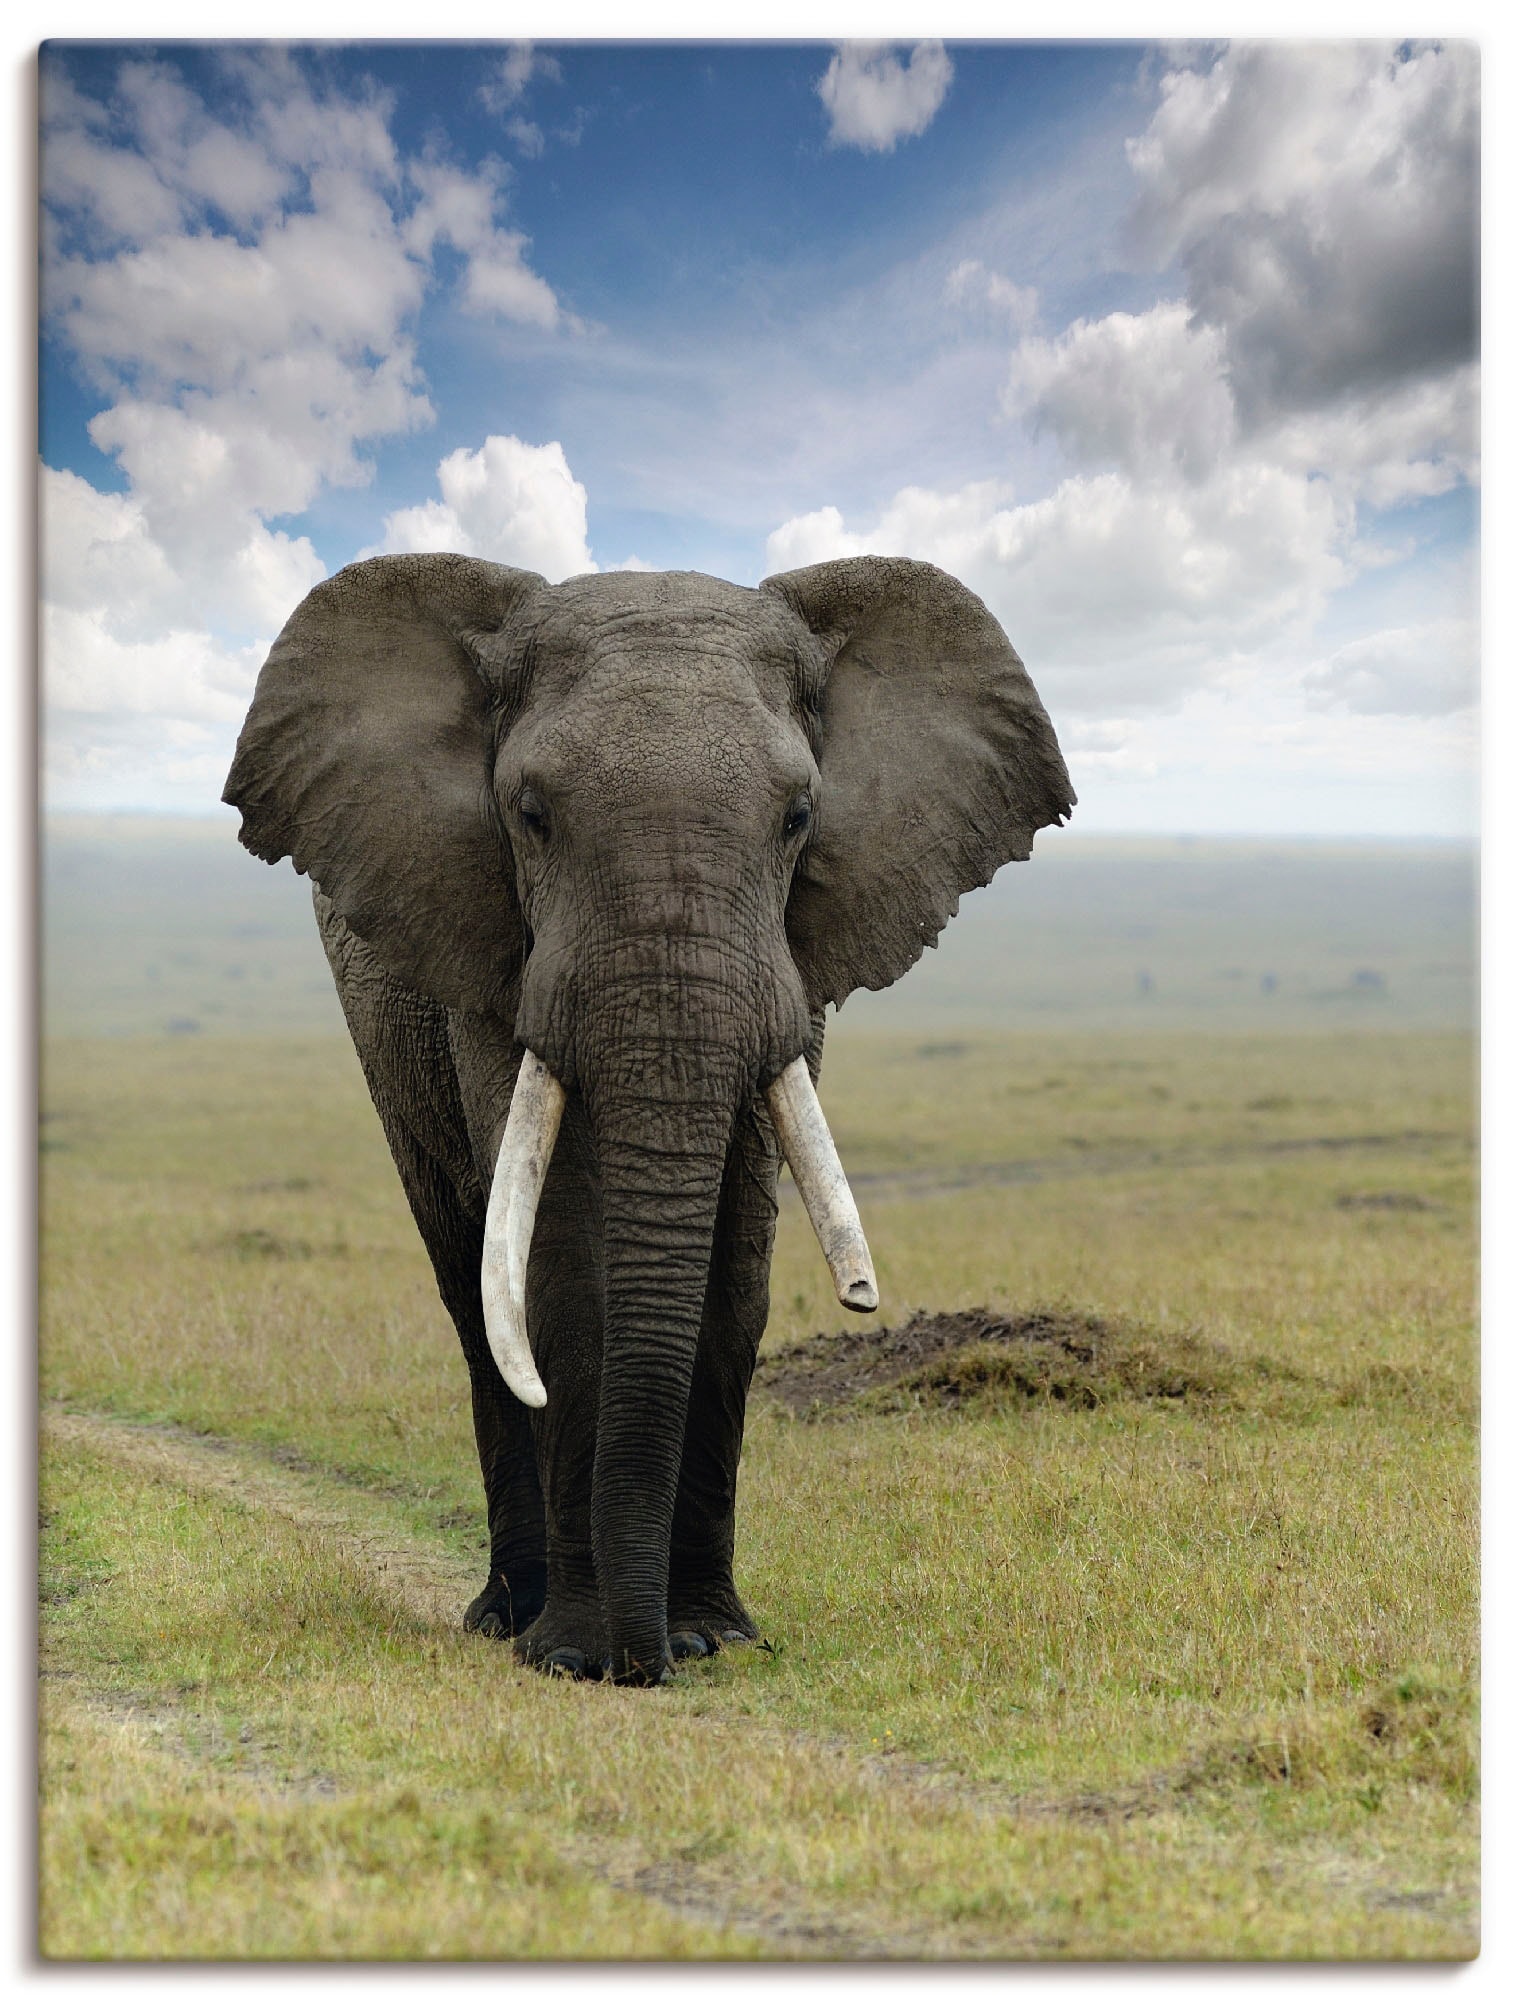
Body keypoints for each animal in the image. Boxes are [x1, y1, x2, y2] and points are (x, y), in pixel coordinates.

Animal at [223, 553, 1073, 1685]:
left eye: (798, 818)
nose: (647, 1660)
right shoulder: (491, 953)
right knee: (470, 1288)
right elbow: (556, 1267)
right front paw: (573, 1654)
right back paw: (505, 1615)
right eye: (531, 814)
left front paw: (716, 1635)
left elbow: (736, 1271)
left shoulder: (793, 968)